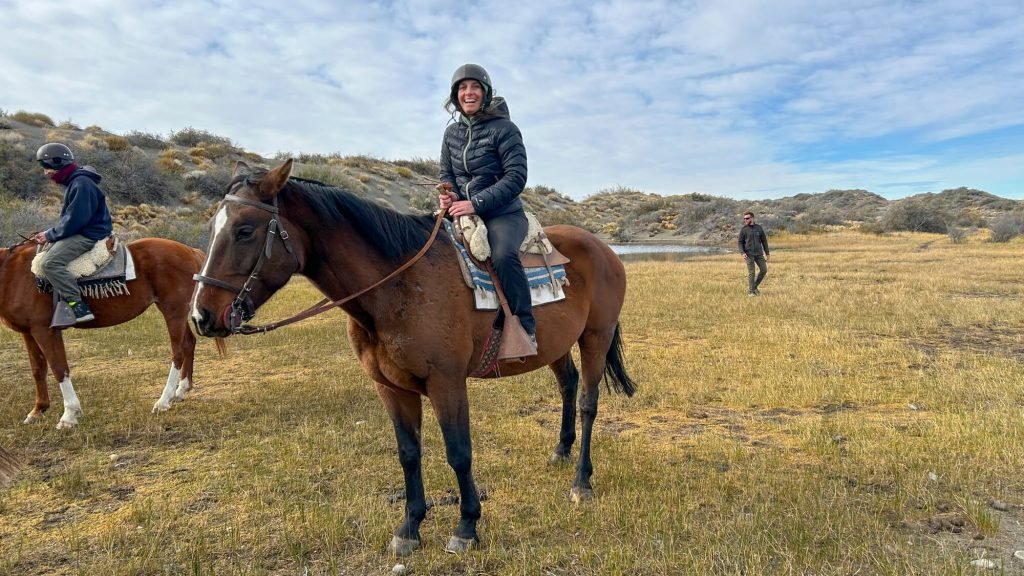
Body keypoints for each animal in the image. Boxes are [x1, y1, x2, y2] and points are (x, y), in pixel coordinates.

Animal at [0, 235, 225, 428]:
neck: (12, 273)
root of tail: (190, 250)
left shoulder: (44, 331)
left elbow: (59, 368)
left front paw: (69, 415)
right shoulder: (29, 332)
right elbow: (38, 369)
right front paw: (38, 410)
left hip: (173, 312)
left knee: (178, 352)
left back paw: (163, 401)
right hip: (176, 312)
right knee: (188, 344)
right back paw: (181, 391)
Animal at [189, 158, 634, 553]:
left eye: (245, 230)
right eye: (212, 229)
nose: (201, 315)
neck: (398, 283)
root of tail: (605, 249)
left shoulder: (446, 382)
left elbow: (459, 453)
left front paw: (467, 526)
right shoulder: (390, 387)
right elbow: (409, 453)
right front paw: (410, 527)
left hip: (595, 337)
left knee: (588, 402)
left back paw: (581, 482)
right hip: (556, 345)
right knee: (568, 385)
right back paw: (561, 452)